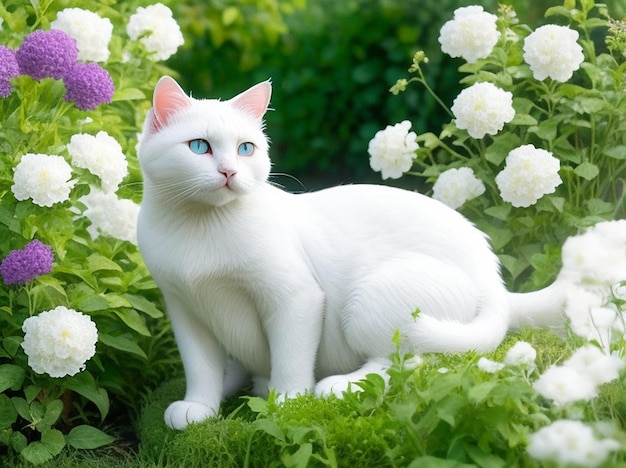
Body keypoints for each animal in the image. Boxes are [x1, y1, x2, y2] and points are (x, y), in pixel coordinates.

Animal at [138, 76, 564, 428]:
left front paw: (288, 401)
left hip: (369, 299)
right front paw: (200, 407)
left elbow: (291, 357)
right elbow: (200, 367)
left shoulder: (296, 297)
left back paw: (338, 385)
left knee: (412, 362)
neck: (199, 225)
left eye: (246, 149)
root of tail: (495, 283)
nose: (230, 173)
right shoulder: (185, 309)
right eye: (199, 147)